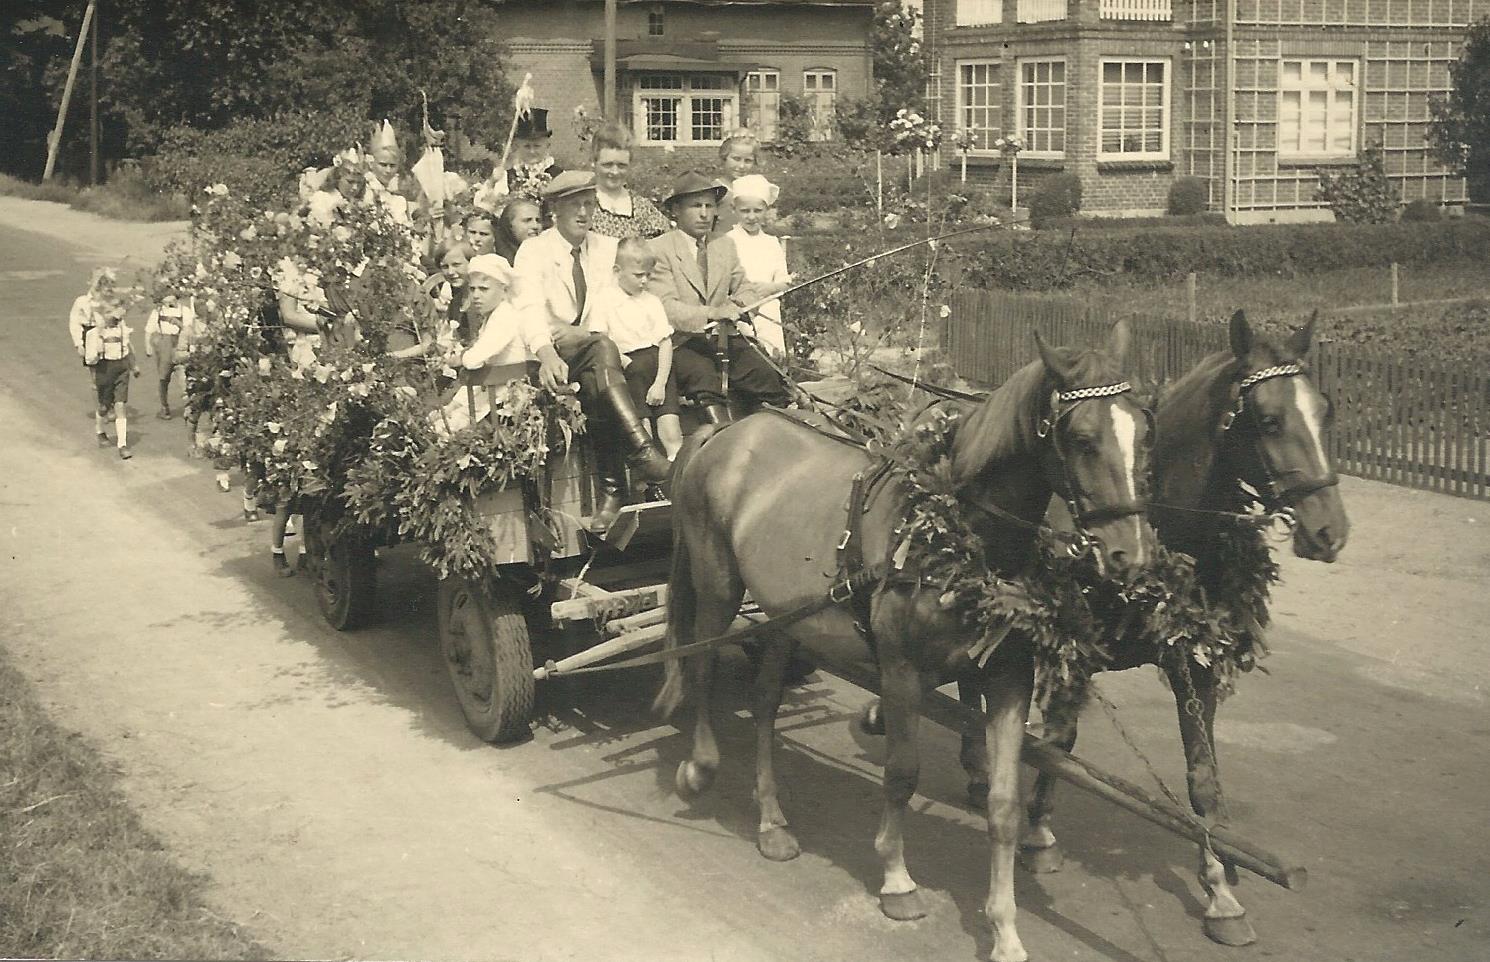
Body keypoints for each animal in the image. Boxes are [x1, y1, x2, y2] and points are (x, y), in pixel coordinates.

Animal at [652, 324, 1150, 962]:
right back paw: (700, 767)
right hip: (717, 587)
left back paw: (772, 822)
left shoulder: (1009, 678)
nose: (1131, 555)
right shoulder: (900, 672)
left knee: (764, 703)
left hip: (785, 618)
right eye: (1083, 439)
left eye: (1144, 430)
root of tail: (726, 431)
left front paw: (1005, 928)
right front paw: (896, 879)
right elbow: (901, 773)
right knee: (703, 667)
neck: (958, 534)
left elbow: (1004, 805)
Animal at [953, 311, 1352, 947]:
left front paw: (1220, 887)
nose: (1329, 531)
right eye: (1268, 420)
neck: (1160, 527)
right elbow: (1059, 744)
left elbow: (1202, 777)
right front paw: (1040, 834)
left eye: (1326, 410)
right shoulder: (1075, 651)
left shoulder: (1194, 659)